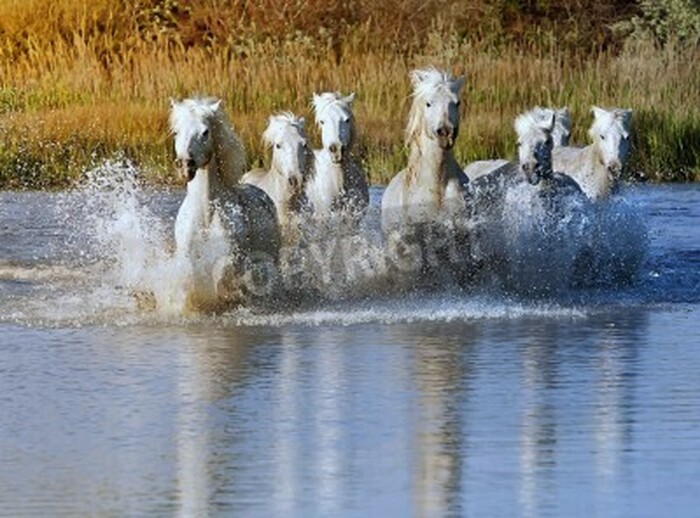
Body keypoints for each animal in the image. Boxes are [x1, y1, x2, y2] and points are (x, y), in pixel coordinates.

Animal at [170, 97, 280, 307]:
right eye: (176, 131)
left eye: (205, 132)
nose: (185, 166)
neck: (206, 213)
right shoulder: (187, 254)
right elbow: (191, 277)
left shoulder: (232, 256)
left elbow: (222, 276)